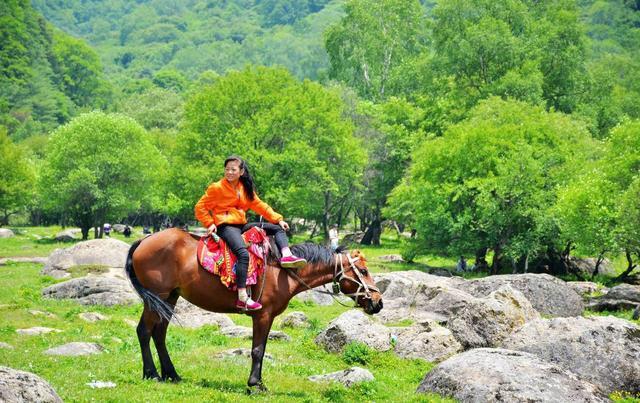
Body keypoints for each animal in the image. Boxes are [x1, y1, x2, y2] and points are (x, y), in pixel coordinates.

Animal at [127, 229, 382, 392]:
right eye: (362, 270)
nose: (378, 302)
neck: (283, 271)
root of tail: (144, 241)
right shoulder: (263, 316)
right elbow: (257, 350)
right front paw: (255, 385)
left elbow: (261, 349)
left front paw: (256, 382)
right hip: (157, 296)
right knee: (144, 331)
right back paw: (152, 373)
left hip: (169, 297)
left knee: (159, 334)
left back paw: (171, 374)